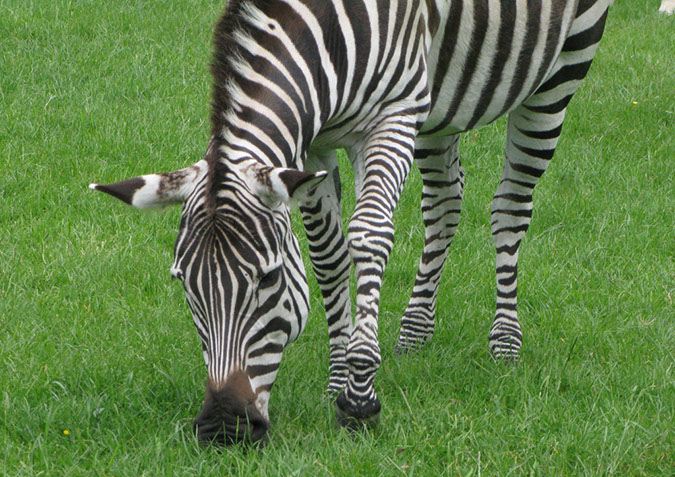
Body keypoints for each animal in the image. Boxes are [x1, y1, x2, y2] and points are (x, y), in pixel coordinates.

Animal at [90, 0, 612, 446]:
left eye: (269, 279)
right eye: (183, 282)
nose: (223, 429)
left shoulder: (393, 116)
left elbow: (369, 234)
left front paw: (359, 397)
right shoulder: (314, 140)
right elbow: (328, 255)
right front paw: (338, 378)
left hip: (560, 72)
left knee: (511, 206)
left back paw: (505, 344)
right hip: (439, 101)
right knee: (446, 200)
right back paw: (415, 331)